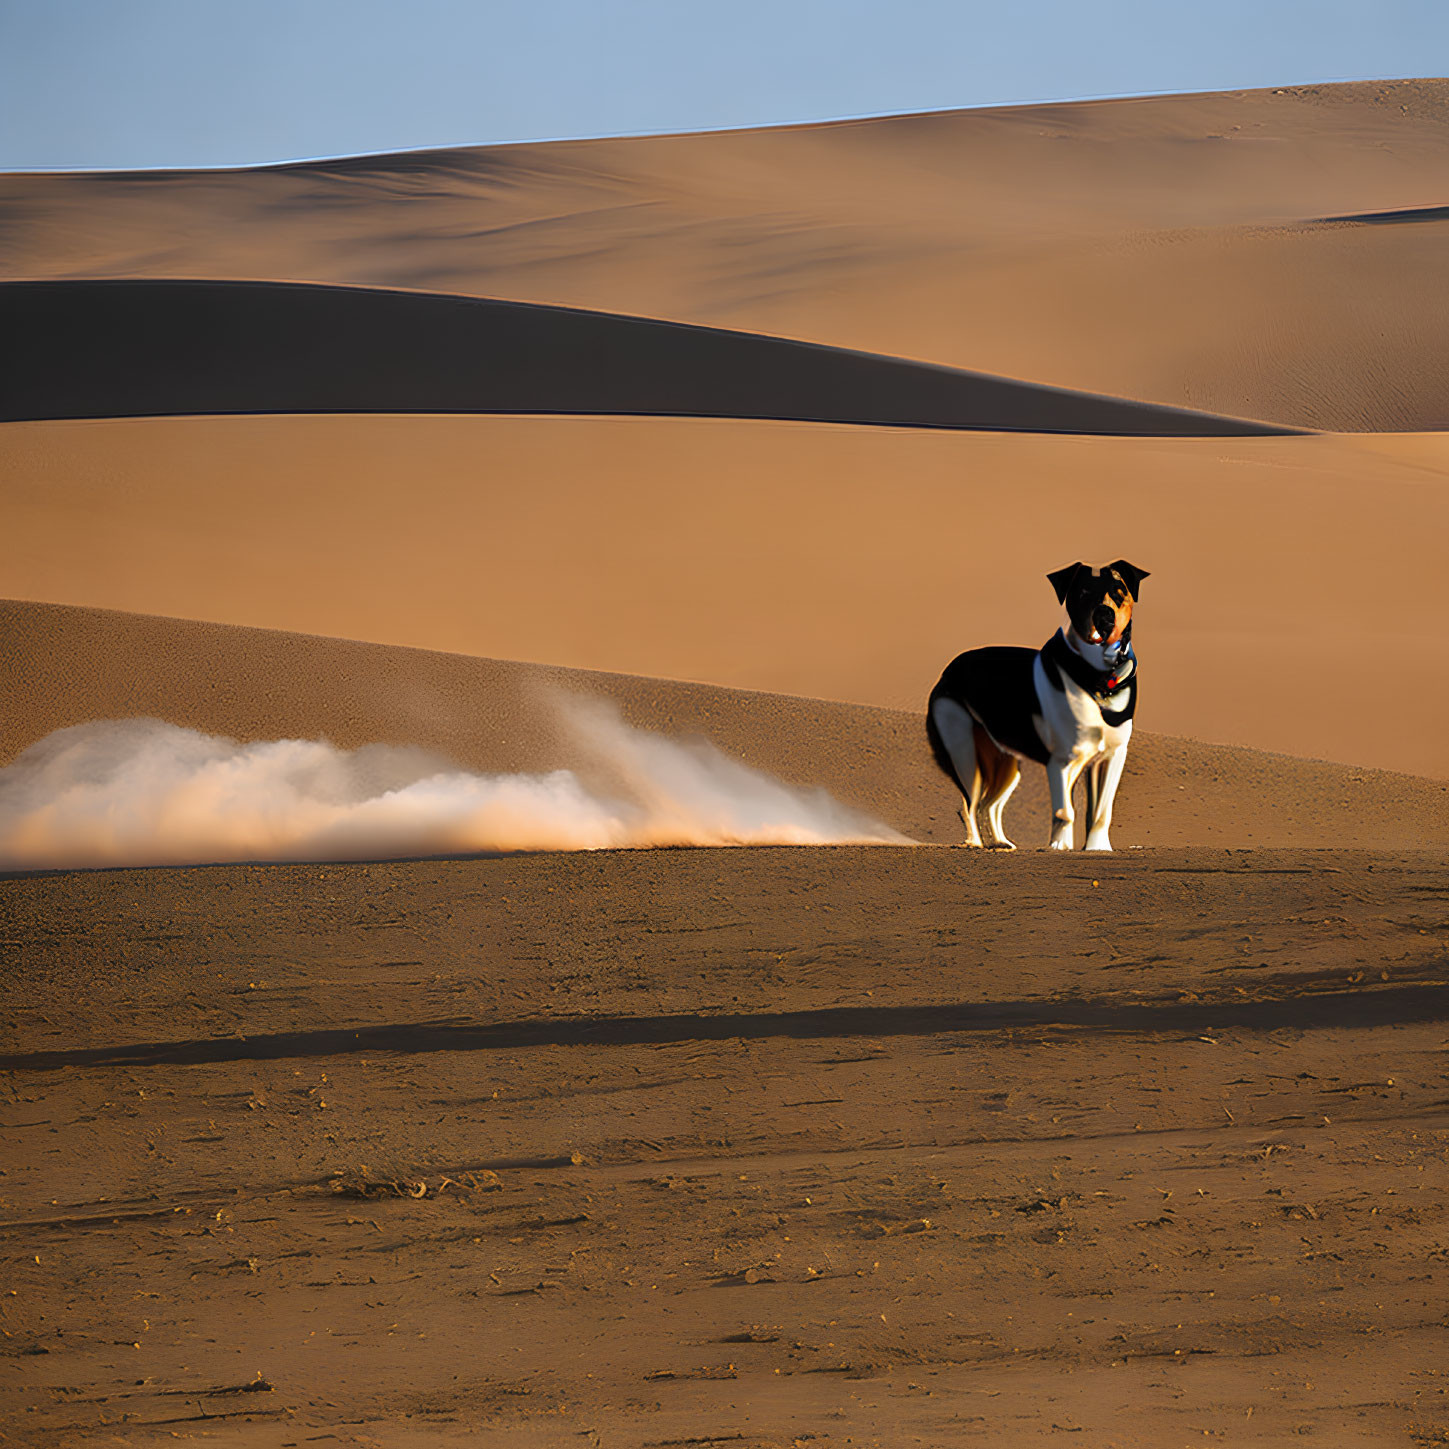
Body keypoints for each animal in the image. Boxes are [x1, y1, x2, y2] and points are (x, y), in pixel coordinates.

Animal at [927, 553, 1153, 846]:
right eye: (1083, 592)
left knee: (990, 804)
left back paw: (1001, 843)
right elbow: (1064, 811)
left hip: (1006, 765)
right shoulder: (1061, 760)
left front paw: (1097, 849)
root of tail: (948, 670)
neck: (1098, 678)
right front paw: (1059, 846)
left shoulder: (1110, 756)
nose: (1105, 617)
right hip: (964, 755)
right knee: (969, 804)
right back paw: (975, 843)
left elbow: (1101, 813)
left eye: (1119, 591)